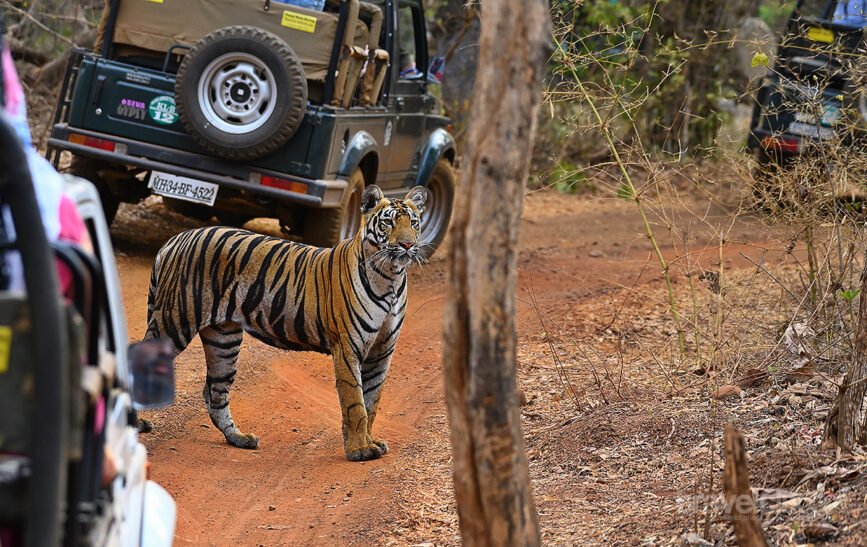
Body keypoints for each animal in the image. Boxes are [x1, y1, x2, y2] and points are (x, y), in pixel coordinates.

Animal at [147, 185, 430, 462]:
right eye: (388, 223)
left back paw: (239, 438)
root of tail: (177, 238)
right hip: (175, 322)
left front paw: (371, 441)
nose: (407, 244)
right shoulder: (349, 347)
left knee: (215, 392)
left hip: (223, 339)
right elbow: (355, 402)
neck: (390, 278)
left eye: (413, 223)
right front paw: (360, 450)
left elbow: (372, 401)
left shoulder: (382, 351)